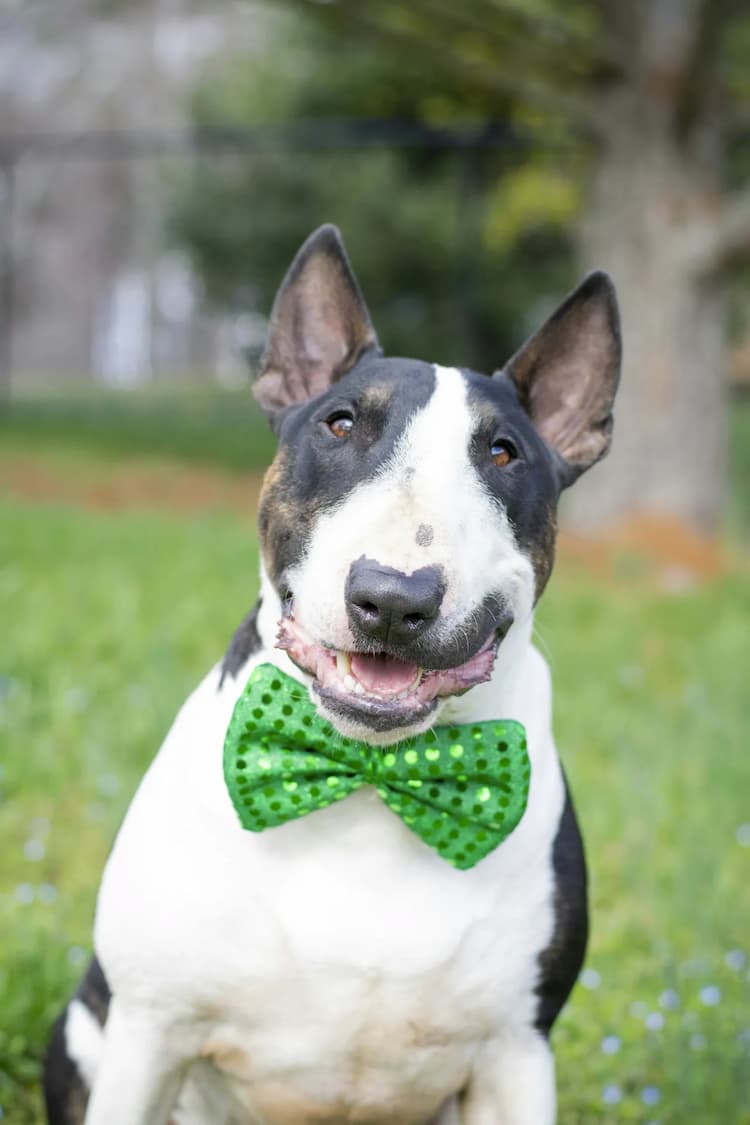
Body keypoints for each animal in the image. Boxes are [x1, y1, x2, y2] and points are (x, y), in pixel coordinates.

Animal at [45, 223, 620, 1120]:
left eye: (503, 452)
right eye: (341, 424)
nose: (393, 597)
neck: (369, 774)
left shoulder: (516, 1053)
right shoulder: (147, 1030)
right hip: (81, 1028)